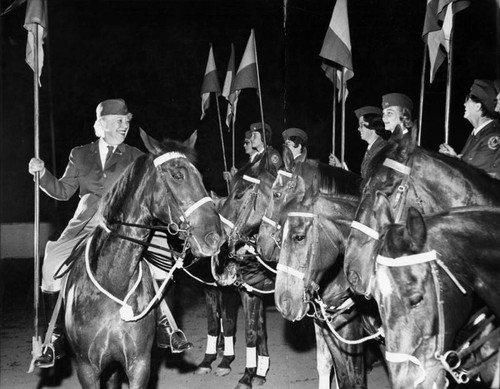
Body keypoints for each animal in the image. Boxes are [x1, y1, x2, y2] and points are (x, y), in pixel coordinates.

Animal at [61, 131, 222, 388]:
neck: (113, 281)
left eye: (199, 175)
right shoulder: (87, 368)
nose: (215, 238)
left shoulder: (139, 364)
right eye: (177, 175)